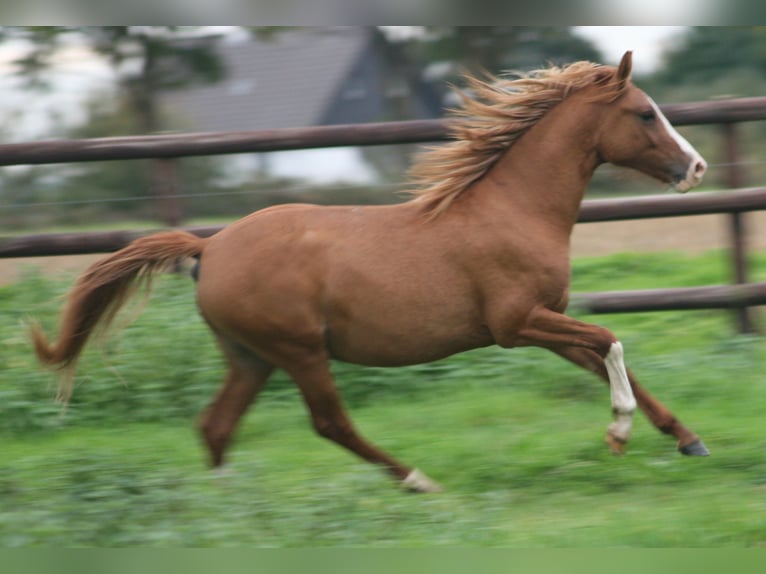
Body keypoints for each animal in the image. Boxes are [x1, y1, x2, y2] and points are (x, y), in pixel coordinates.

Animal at [33, 51, 712, 496]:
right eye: (645, 113)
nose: (697, 167)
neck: (514, 209)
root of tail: (211, 244)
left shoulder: (546, 323)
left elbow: (607, 359)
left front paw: (688, 439)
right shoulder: (516, 323)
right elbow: (612, 342)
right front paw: (619, 433)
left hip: (251, 357)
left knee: (217, 425)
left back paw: (235, 511)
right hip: (299, 350)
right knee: (329, 423)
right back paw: (418, 481)